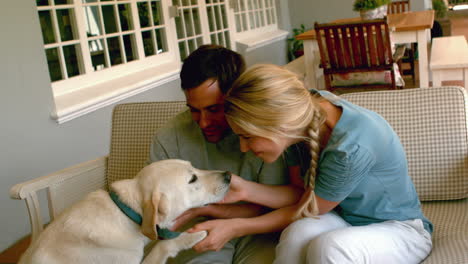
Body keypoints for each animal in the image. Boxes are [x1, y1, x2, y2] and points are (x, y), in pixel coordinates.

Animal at [19, 159, 231, 264]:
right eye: (192, 179)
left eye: (194, 166)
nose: (229, 175)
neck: (125, 212)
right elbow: (163, 245)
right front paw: (192, 236)